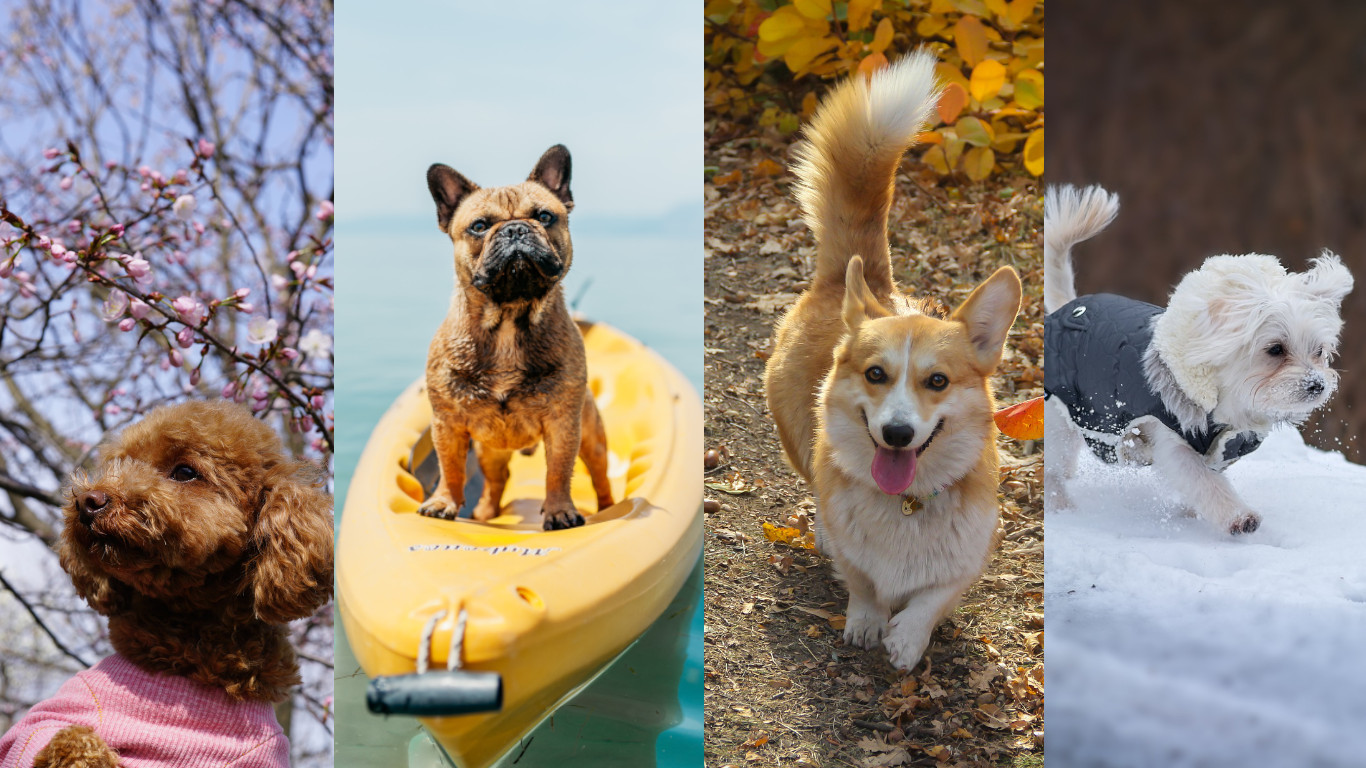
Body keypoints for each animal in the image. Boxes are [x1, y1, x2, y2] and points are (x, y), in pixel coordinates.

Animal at [1043, 184, 1355, 532]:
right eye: (1275, 349)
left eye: (1319, 352)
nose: (1317, 385)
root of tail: (1068, 307)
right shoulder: (1175, 443)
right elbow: (1205, 483)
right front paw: (1239, 516)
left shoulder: (1221, 449)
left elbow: (1205, 483)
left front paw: (1193, 513)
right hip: (1060, 418)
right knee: (1053, 469)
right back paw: (1061, 505)